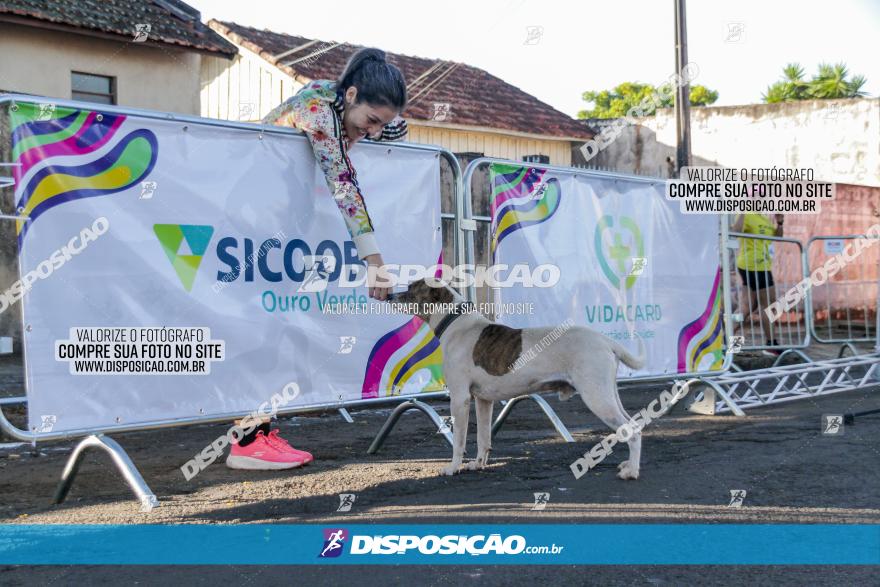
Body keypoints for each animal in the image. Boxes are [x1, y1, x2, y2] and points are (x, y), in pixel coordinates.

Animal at [386, 278, 648, 480]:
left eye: (410, 288)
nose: (388, 295)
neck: (454, 320)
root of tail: (605, 340)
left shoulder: (460, 399)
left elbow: (459, 440)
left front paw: (453, 467)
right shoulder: (483, 401)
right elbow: (483, 437)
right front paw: (478, 464)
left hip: (597, 397)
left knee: (632, 431)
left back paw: (631, 472)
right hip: (607, 394)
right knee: (633, 426)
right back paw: (629, 465)